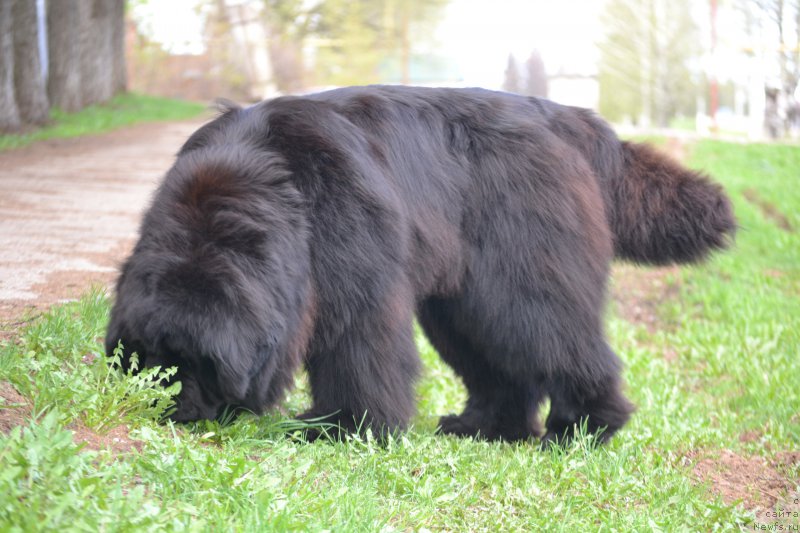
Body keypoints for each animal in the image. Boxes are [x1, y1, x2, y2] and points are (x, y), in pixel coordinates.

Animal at [108, 87, 736, 442]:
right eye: (152, 363)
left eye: (197, 364)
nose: (171, 409)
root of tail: (564, 117)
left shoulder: (351, 263)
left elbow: (360, 348)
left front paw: (344, 430)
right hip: (465, 302)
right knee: (495, 360)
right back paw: (486, 428)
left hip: (522, 275)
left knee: (556, 336)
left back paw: (582, 428)